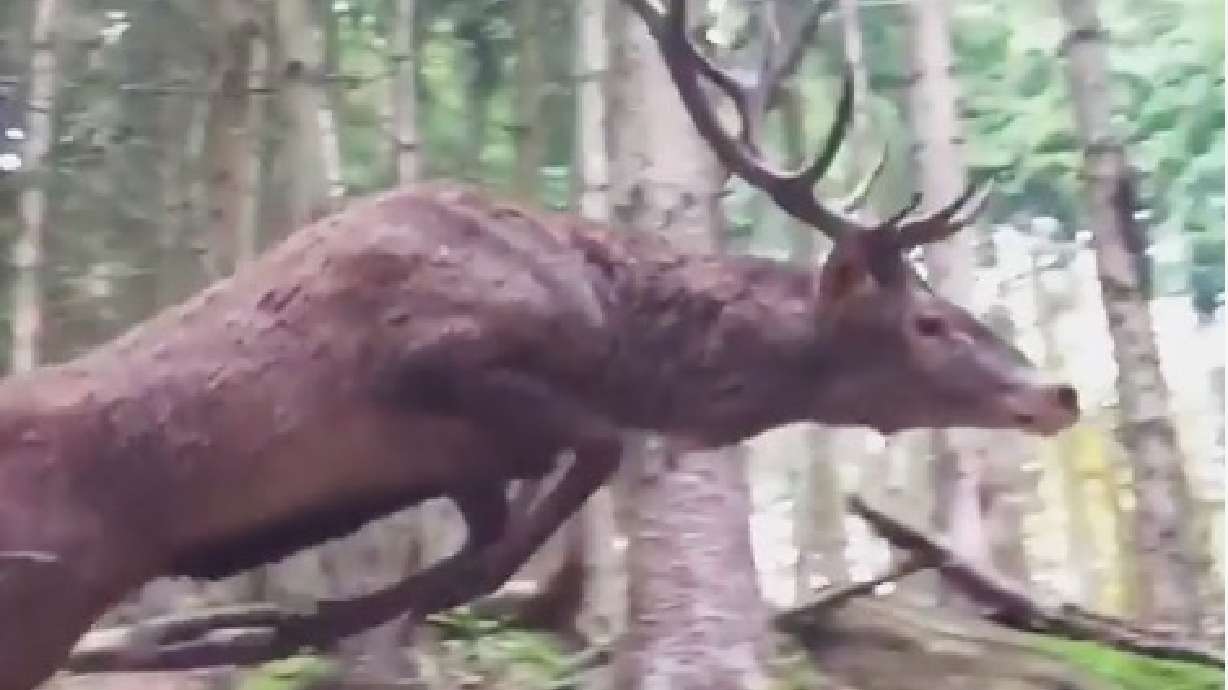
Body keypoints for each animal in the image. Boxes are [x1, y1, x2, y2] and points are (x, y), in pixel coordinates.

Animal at [0, 2, 1079, 688]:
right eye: (929, 321)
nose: (1058, 393)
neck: (612, 329)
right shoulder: (436, 355)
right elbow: (584, 457)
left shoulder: (463, 460)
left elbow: (501, 525)